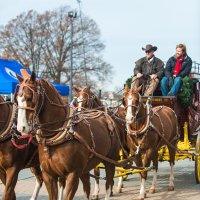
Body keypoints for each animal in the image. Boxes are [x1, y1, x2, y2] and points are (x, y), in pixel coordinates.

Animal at [14, 72, 126, 200]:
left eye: (30, 97)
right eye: (17, 99)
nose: (21, 128)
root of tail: (106, 116)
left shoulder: (73, 175)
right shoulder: (49, 176)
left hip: (110, 160)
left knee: (109, 183)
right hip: (86, 167)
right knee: (87, 187)